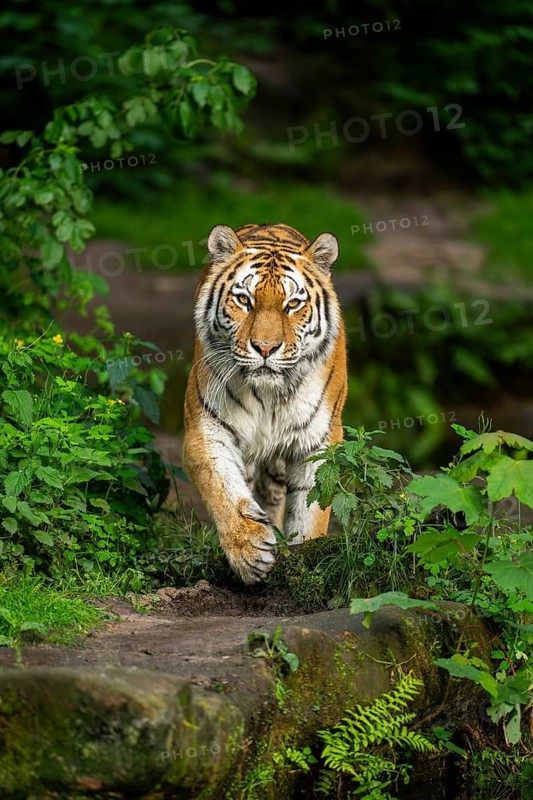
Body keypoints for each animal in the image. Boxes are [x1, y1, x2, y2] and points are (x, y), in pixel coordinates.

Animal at [183, 223, 347, 584]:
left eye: (293, 303)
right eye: (244, 300)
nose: (266, 347)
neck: (270, 394)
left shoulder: (319, 442)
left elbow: (310, 509)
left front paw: (303, 554)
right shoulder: (208, 429)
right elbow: (225, 491)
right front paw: (249, 551)